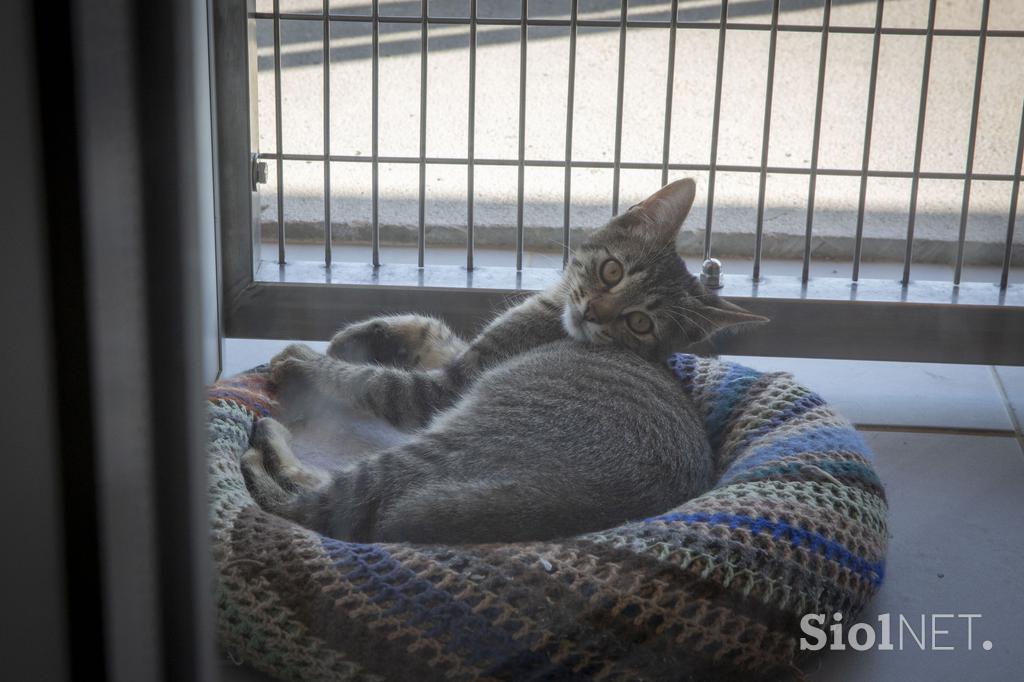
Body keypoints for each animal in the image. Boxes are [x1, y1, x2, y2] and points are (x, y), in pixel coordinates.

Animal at [241, 178, 770, 544]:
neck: (555, 314)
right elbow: (430, 328)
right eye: (612, 270)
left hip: (445, 445)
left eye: (639, 322)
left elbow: (374, 381)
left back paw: (266, 444)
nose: (593, 312)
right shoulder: (469, 354)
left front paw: (306, 360)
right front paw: (360, 335)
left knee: (316, 508)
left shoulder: (448, 385)